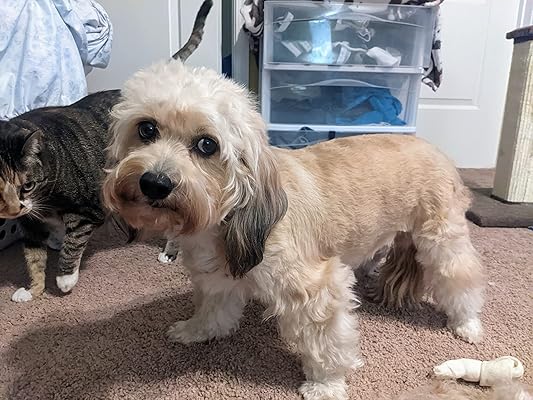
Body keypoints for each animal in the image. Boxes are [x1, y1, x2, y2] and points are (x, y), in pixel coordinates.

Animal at [0, 0, 213, 302]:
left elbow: (73, 243)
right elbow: (33, 259)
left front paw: (65, 278)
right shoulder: (29, 223)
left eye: (26, 185)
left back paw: (168, 251)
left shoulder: (88, 209)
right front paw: (32, 290)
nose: (12, 209)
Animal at [102, 60, 485, 400]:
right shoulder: (217, 280)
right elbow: (213, 314)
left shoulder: (317, 290)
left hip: (442, 241)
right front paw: (195, 331)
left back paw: (467, 324)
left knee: (462, 279)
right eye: (147, 129)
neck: (228, 218)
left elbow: (327, 345)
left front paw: (326, 386)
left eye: (207, 145)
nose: (155, 183)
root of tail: (435, 149)